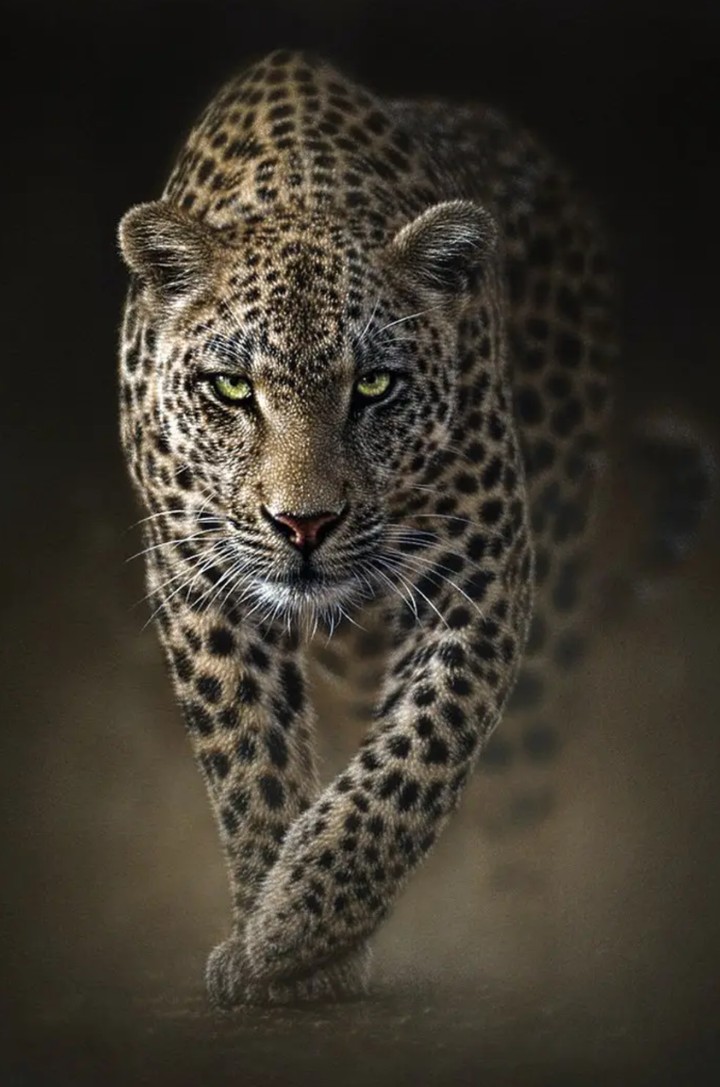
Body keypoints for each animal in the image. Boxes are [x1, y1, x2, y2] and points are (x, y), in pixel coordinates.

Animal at [117, 48, 616, 1006]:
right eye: (231, 389)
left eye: (376, 385)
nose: (303, 525)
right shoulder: (196, 576)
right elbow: (248, 755)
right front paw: (276, 939)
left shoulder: (482, 568)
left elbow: (419, 755)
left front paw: (300, 926)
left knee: (528, 762)